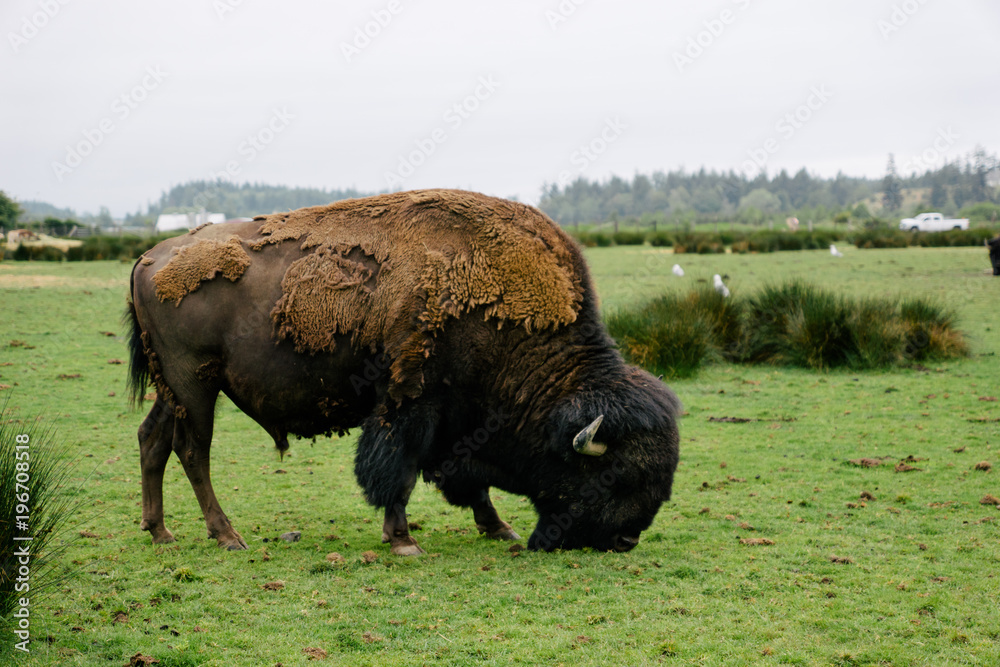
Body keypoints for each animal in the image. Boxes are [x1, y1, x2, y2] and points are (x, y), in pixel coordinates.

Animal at [127, 190, 680, 556]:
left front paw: (498, 528)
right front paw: (403, 541)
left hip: (172, 389)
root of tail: (150, 256)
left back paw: (161, 532)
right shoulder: (412, 401)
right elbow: (399, 469)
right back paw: (227, 536)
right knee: (193, 451)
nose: (626, 539)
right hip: (195, 384)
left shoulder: (454, 421)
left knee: (153, 439)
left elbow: (465, 482)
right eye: (616, 476)